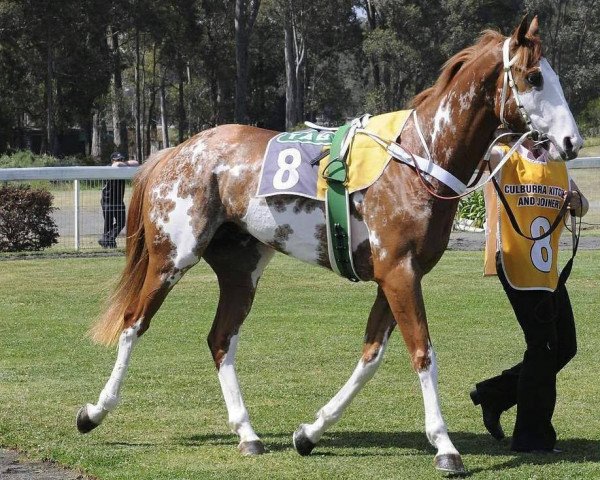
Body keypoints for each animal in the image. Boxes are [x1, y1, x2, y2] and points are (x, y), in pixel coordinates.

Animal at [75, 15, 580, 476]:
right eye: (534, 77)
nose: (572, 141)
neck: (417, 161)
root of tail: (175, 151)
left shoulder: (395, 276)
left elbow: (371, 356)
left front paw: (310, 432)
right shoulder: (399, 273)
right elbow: (422, 353)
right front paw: (445, 446)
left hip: (241, 270)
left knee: (220, 339)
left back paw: (247, 433)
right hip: (172, 258)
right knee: (133, 324)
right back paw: (94, 411)